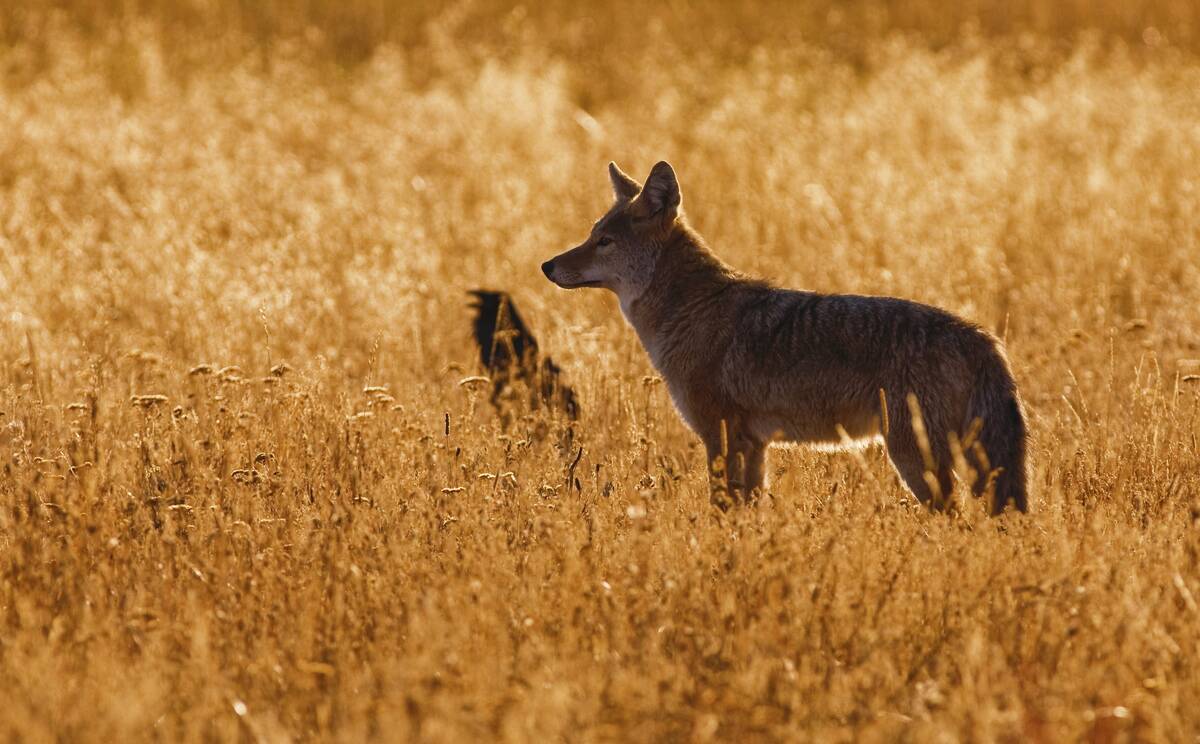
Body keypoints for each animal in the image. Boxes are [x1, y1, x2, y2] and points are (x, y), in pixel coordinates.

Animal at [541, 161, 1028, 514]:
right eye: (591, 236)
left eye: (604, 241)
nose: (546, 265)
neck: (689, 309)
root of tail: (981, 336)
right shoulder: (754, 446)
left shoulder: (721, 437)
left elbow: (721, 510)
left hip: (915, 460)